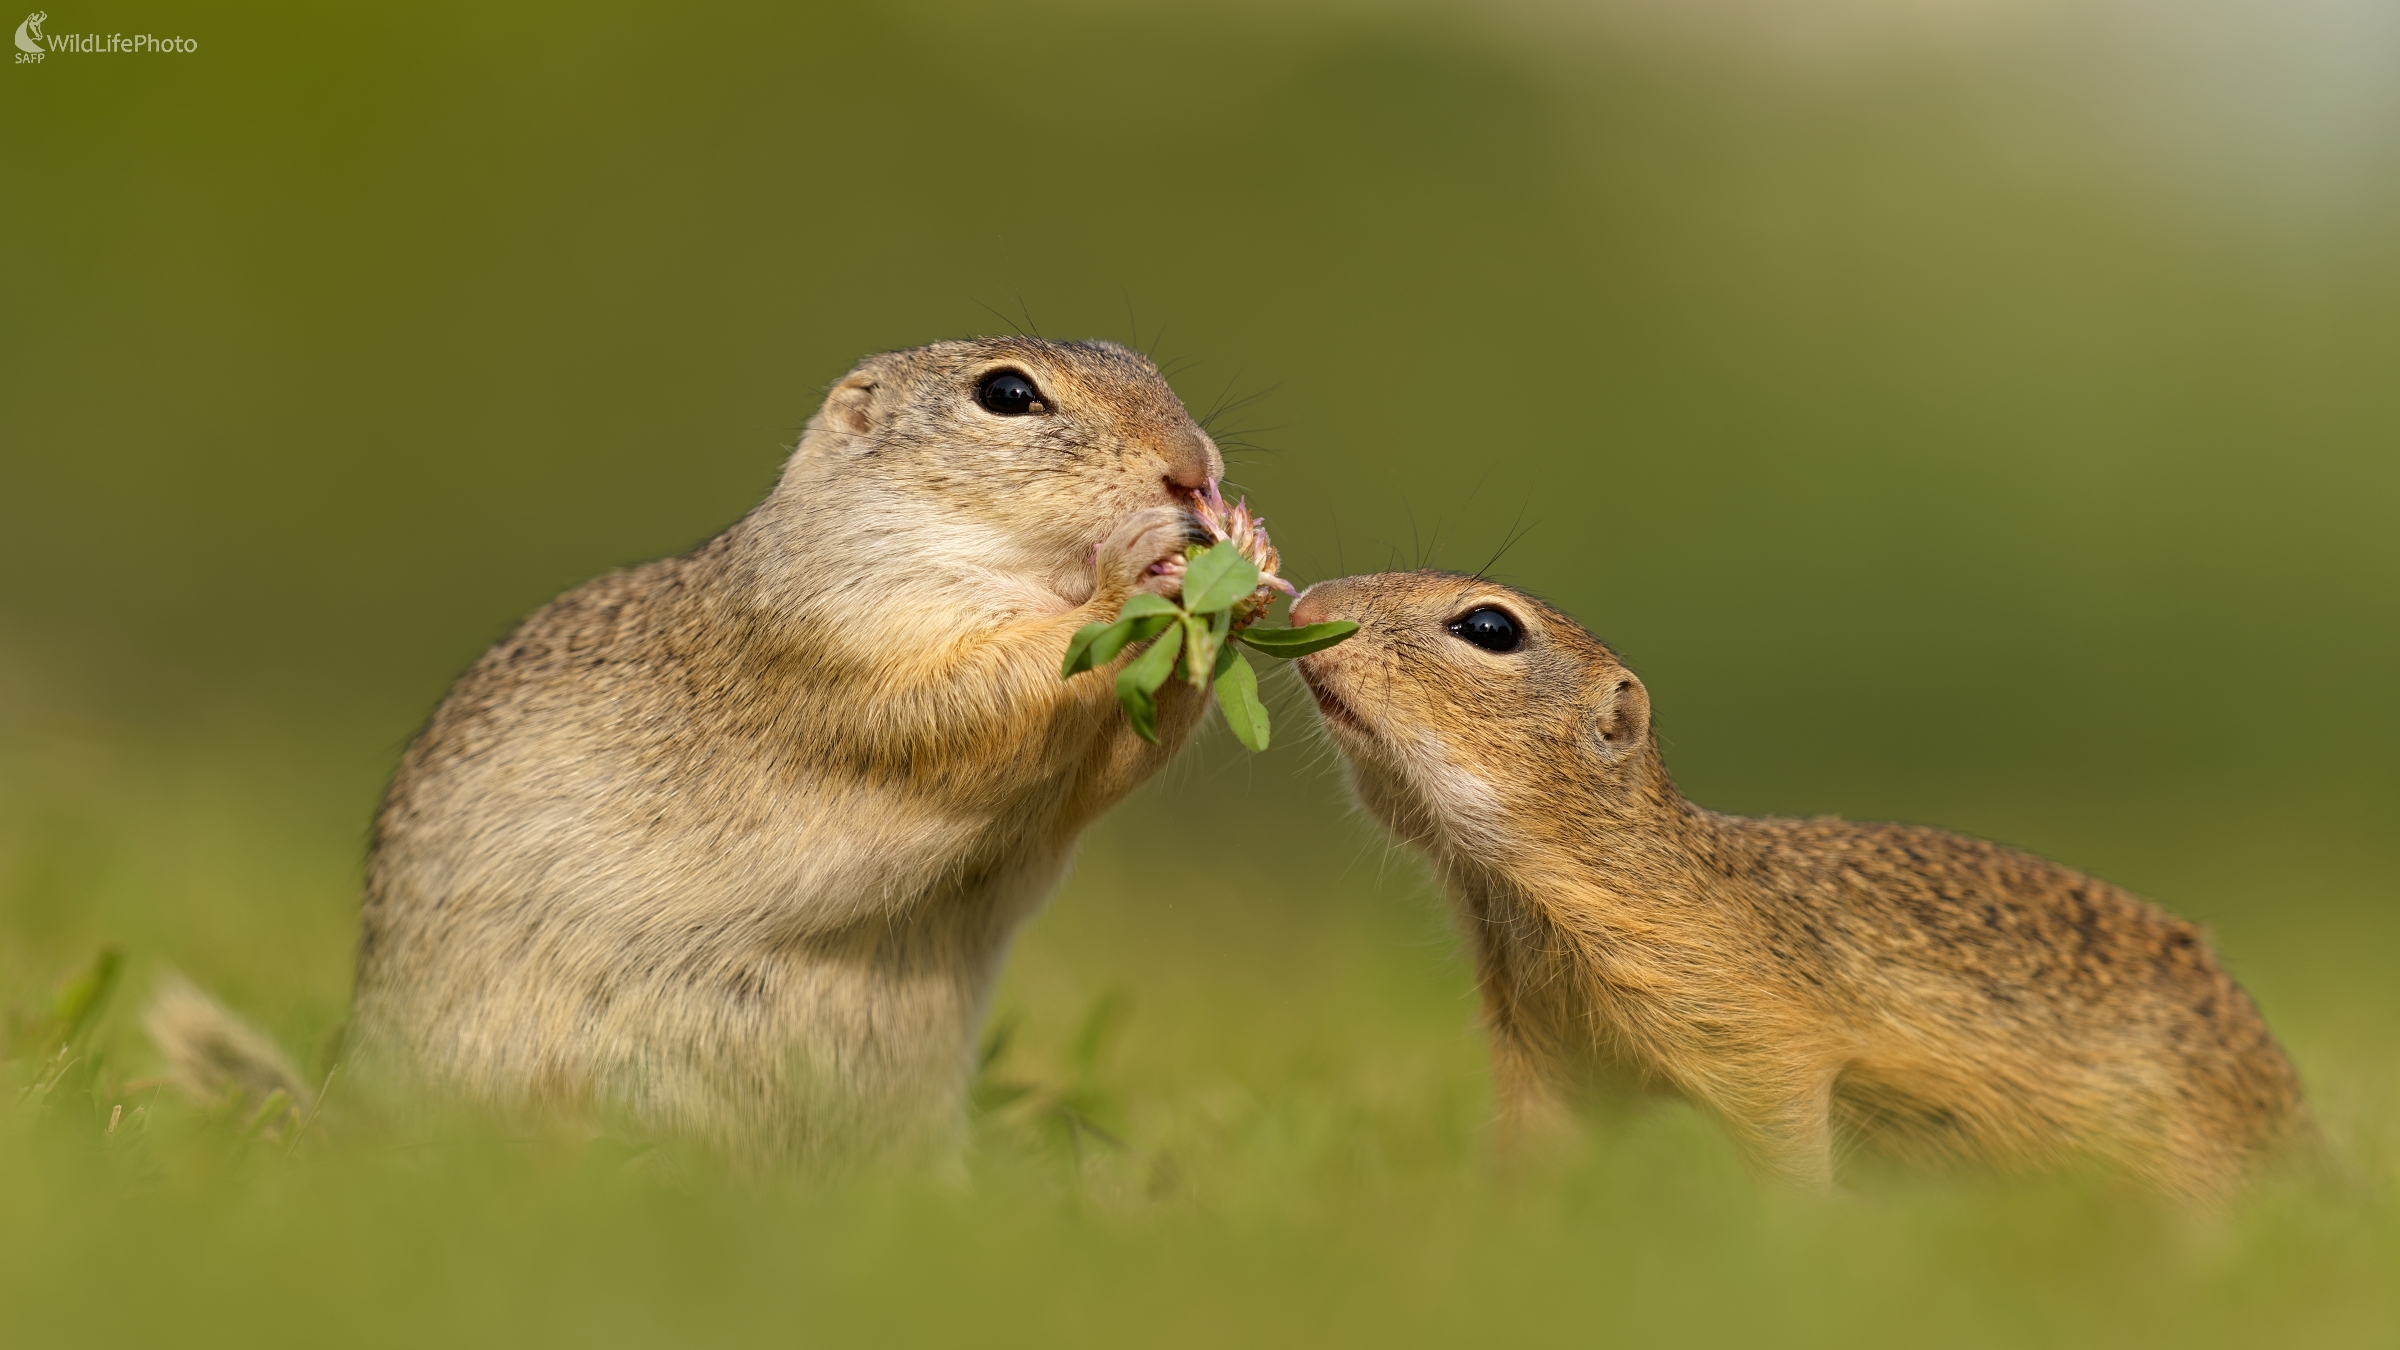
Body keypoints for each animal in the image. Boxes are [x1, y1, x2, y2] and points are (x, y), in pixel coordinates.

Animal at [343, 336, 1219, 1157]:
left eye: (1142, 363)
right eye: (1006, 393)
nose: (1194, 469)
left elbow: (1106, 768)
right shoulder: (846, 641)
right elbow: (981, 694)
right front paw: (1136, 573)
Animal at [1296, 564, 2304, 1186]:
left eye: (1489, 627)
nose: (1302, 605)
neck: (1524, 893)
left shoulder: (1763, 1037)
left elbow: (1785, 1148)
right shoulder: (1546, 1050)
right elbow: (1538, 1158)